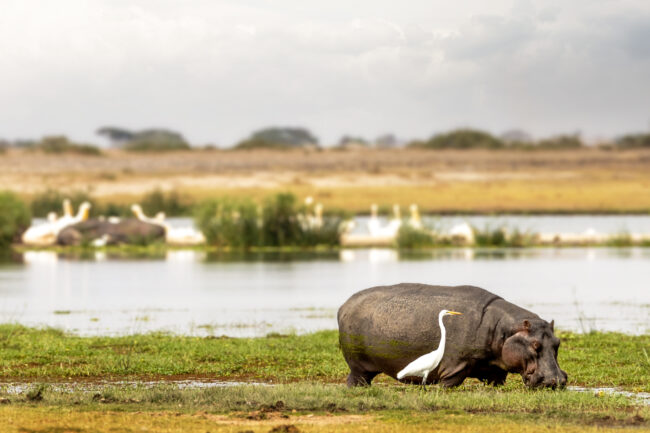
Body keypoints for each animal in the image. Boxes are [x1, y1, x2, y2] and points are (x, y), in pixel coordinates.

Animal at [336, 284, 564, 388]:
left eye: (558, 343)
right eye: (535, 344)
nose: (557, 380)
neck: (504, 329)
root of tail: (344, 305)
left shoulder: (496, 371)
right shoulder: (454, 366)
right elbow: (449, 383)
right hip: (358, 367)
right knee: (355, 379)